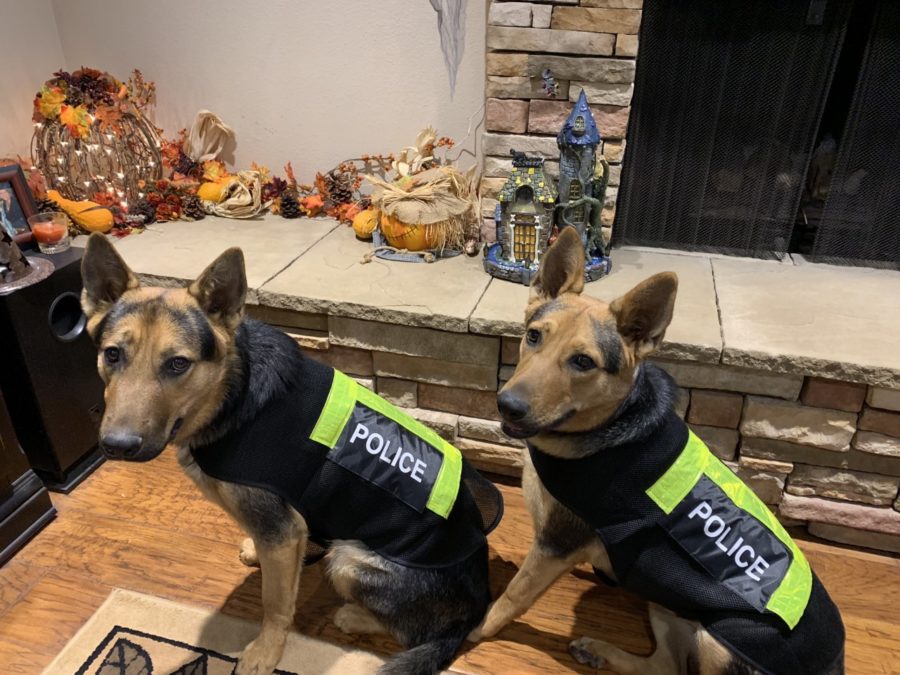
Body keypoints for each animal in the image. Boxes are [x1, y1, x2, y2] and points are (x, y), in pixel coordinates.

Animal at [79, 234, 500, 675]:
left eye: (178, 364)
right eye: (112, 355)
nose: (117, 446)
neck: (233, 392)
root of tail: (474, 608)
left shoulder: (281, 533)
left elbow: (275, 603)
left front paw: (266, 652)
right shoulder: (284, 529)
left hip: (349, 559)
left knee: (410, 632)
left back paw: (353, 615)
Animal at [472, 227, 844, 675]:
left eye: (583, 362)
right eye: (533, 336)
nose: (507, 405)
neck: (608, 425)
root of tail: (835, 663)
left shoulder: (554, 546)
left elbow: (512, 597)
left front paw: (473, 630)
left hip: (715, 640)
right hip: (666, 605)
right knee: (665, 665)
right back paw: (601, 651)